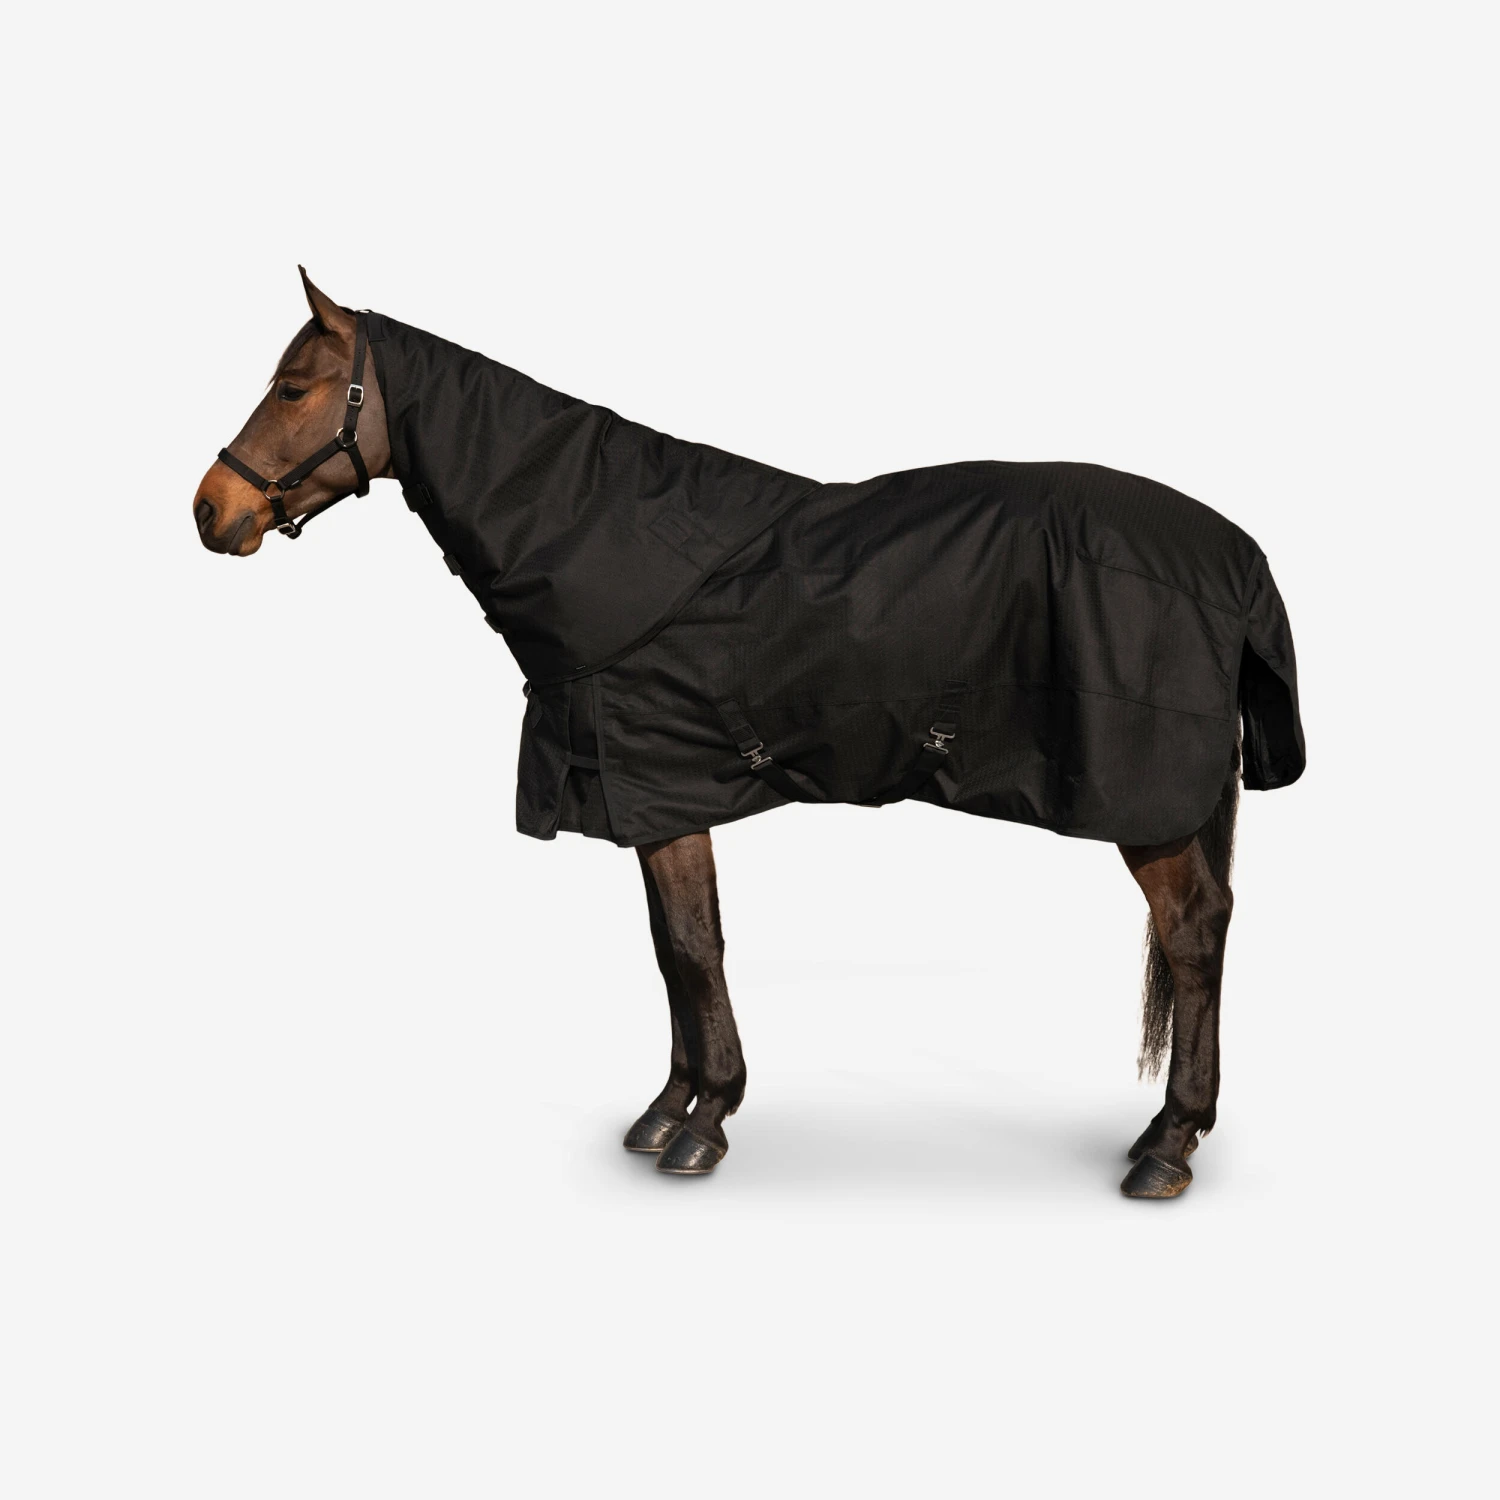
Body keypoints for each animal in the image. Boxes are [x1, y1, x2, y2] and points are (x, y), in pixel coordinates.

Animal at [193, 269, 1304, 1197]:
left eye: (294, 388)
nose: (211, 510)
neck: (601, 535)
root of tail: (1236, 555)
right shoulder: (647, 800)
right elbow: (668, 951)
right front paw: (666, 1108)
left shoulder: (667, 787)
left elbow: (695, 949)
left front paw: (705, 1121)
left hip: (1149, 805)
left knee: (1195, 929)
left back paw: (1169, 1144)